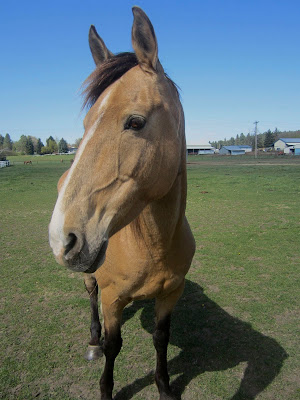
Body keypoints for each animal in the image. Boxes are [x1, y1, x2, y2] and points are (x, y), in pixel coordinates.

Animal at [48, 7, 195, 400]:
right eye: (86, 123)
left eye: (135, 122)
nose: (61, 237)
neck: (154, 244)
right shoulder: (113, 299)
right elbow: (114, 345)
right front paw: (106, 388)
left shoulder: (171, 294)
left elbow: (161, 338)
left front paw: (164, 386)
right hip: (90, 279)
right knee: (91, 299)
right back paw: (92, 341)